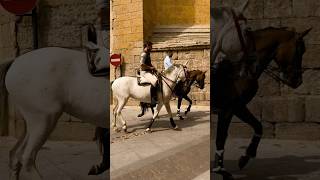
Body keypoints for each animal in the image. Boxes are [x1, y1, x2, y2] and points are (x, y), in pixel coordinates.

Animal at [211, 26, 312, 179]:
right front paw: (220, 170)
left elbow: (258, 126)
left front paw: (246, 156)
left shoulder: (238, 107)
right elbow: (220, 138)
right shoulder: (229, 109)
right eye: (299, 50)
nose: (297, 81)